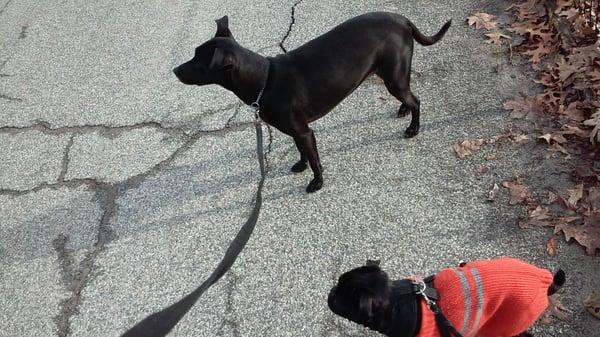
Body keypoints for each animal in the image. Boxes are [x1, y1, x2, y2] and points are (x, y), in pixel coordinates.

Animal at [172, 12, 450, 192]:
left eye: (198, 61)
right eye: (194, 53)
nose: (174, 70)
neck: (265, 80)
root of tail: (402, 20)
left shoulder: (305, 132)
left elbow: (315, 159)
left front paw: (316, 182)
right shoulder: (297, 131)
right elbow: (301, 151)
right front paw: (301, 165)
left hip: (394, 77)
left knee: (416, 101)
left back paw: (413, 128)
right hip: (390, 75)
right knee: (408, 97)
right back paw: (403, 110)